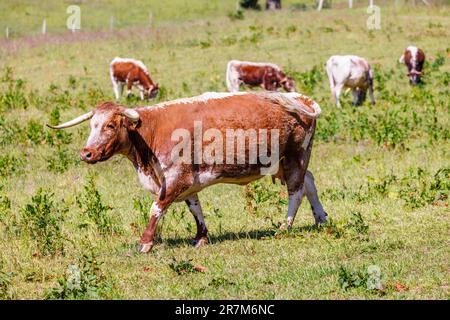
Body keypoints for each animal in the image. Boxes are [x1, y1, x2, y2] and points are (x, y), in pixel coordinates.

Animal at [46, 91, 326, 254]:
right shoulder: (188, 180)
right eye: (92, 125)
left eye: (111, 125)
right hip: (282, 161)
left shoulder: (175, 178)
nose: (86, 153)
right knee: (309, 181)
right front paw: (201, 237)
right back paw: (321, 219)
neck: (150, 132)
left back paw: (285, 226)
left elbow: (156, 208)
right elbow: (195, 207)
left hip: (295, 156)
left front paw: (145, 242)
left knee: (296, 190)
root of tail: (302, 98)